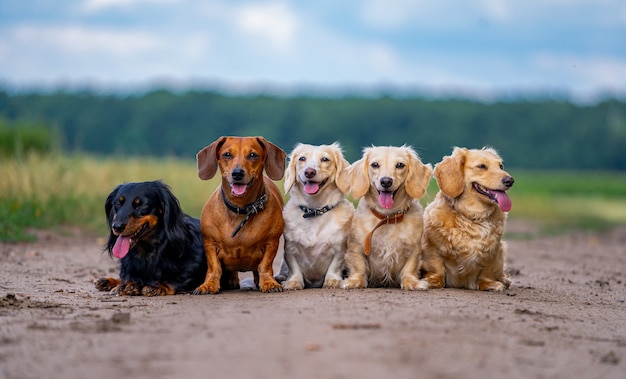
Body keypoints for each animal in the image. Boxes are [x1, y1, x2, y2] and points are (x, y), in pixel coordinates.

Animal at [276, 143, 352, 290]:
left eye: (325, 159)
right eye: (302, 158)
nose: (309, 172)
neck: (314, 209)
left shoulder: (339, 248)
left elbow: (335, 266)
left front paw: (332, 280)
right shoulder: (290, 248)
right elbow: (294, 267)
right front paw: (294, 281)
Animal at [338, 146, 432, 290]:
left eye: (400, 165)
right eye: (375, 164)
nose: (386, 181)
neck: (387, 217)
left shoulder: (414, 249)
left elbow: (410, 268)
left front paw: (411, 282)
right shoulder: (356, 246)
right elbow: (359, 266)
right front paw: (354, 281)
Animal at [416, 147, 516, 292]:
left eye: (501, 166)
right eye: (482, 166)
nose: (510, 180)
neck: (473, 217)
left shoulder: (494, 251)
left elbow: (487, 272)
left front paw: (489, 284)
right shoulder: (432, 248)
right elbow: (437, 268)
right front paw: (432, 281)